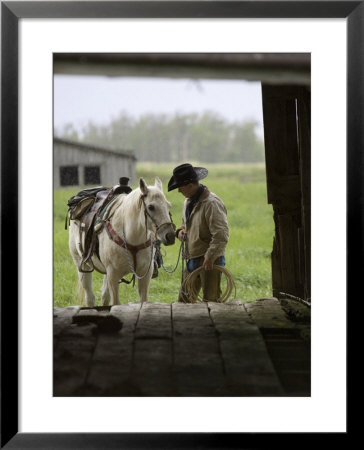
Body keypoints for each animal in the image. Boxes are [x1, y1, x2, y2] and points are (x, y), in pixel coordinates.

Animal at [69, 177, 176, 306]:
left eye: (168, 205)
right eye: (151, 207)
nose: (170, 236)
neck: (132, 238)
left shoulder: (145, 274)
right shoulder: (113, 275)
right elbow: (115, 302)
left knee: (104, 296)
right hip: (82, 264)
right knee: (90, 297)